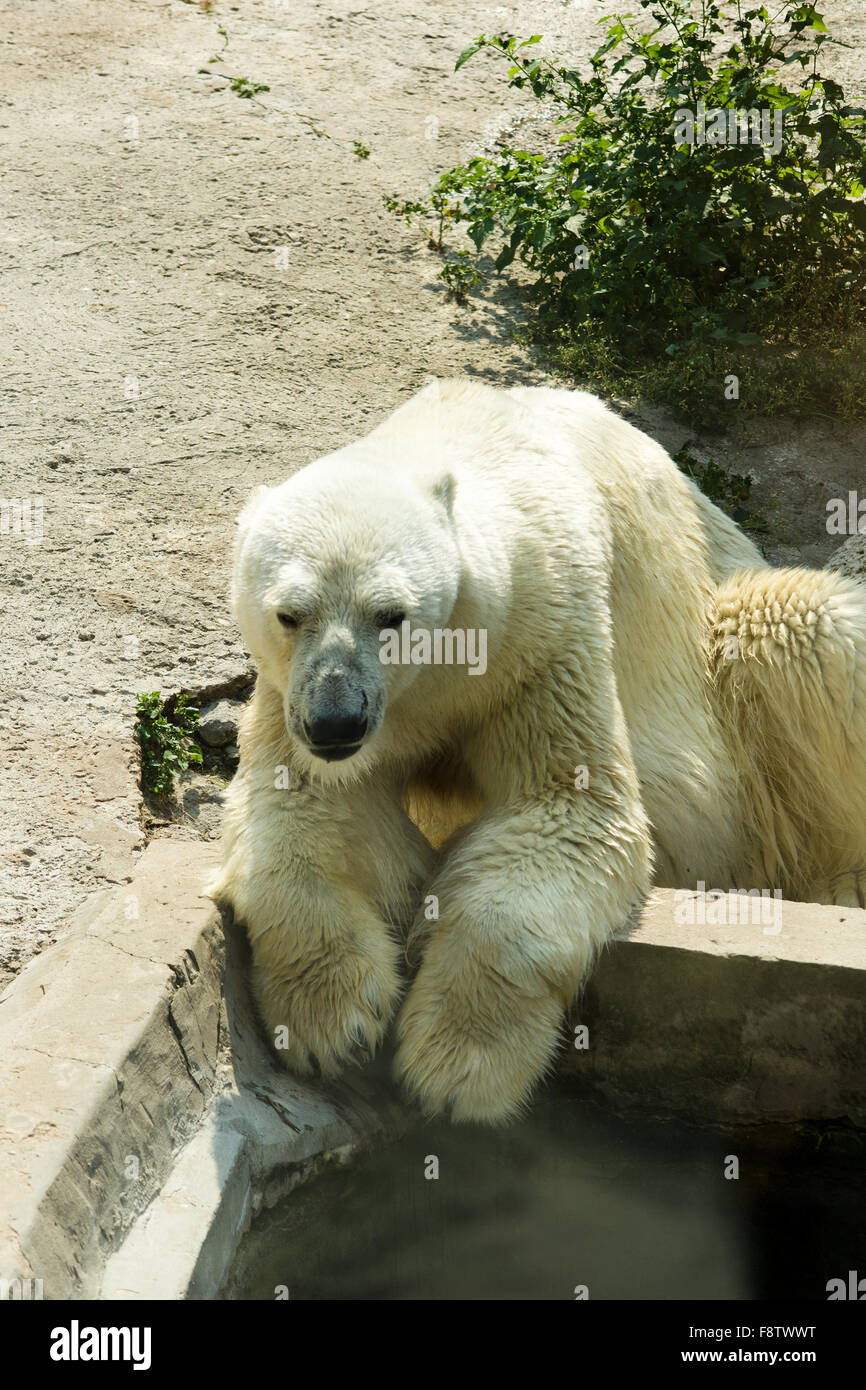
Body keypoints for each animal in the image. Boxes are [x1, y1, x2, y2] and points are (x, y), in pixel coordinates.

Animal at [215, 375, 866, 1123]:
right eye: (290, 614)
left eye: (391, 616)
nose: (336, 722)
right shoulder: (293, 695)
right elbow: (306, 809)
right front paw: (332, 1019)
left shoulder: (541, 633)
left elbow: (567, 808)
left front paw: (459, 1065)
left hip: (726, 636)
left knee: (808, 626)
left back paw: (838, 883)